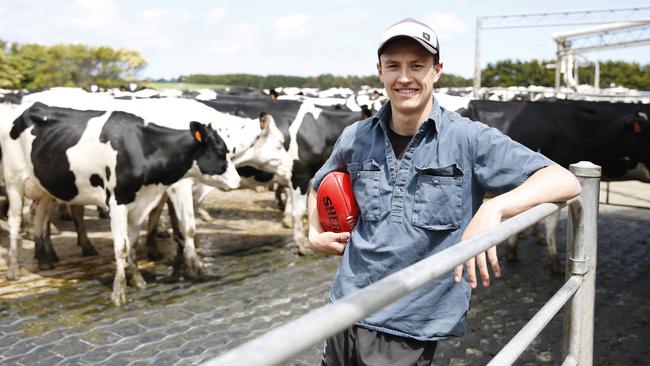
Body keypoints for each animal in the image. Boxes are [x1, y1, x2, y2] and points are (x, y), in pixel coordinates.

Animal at [1, 101, 239, 304]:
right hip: (13, 181)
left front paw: (137, 280)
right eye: (221, 151)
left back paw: (43, 259)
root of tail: (28, 107)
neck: (143, 148)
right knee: (14, 221)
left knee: (38, 218)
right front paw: (119, 292)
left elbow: (131, 243)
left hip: (45, 187)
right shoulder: (117, 202)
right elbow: (121, 247)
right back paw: (13, 269)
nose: (237, 181)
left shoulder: (139, 203)